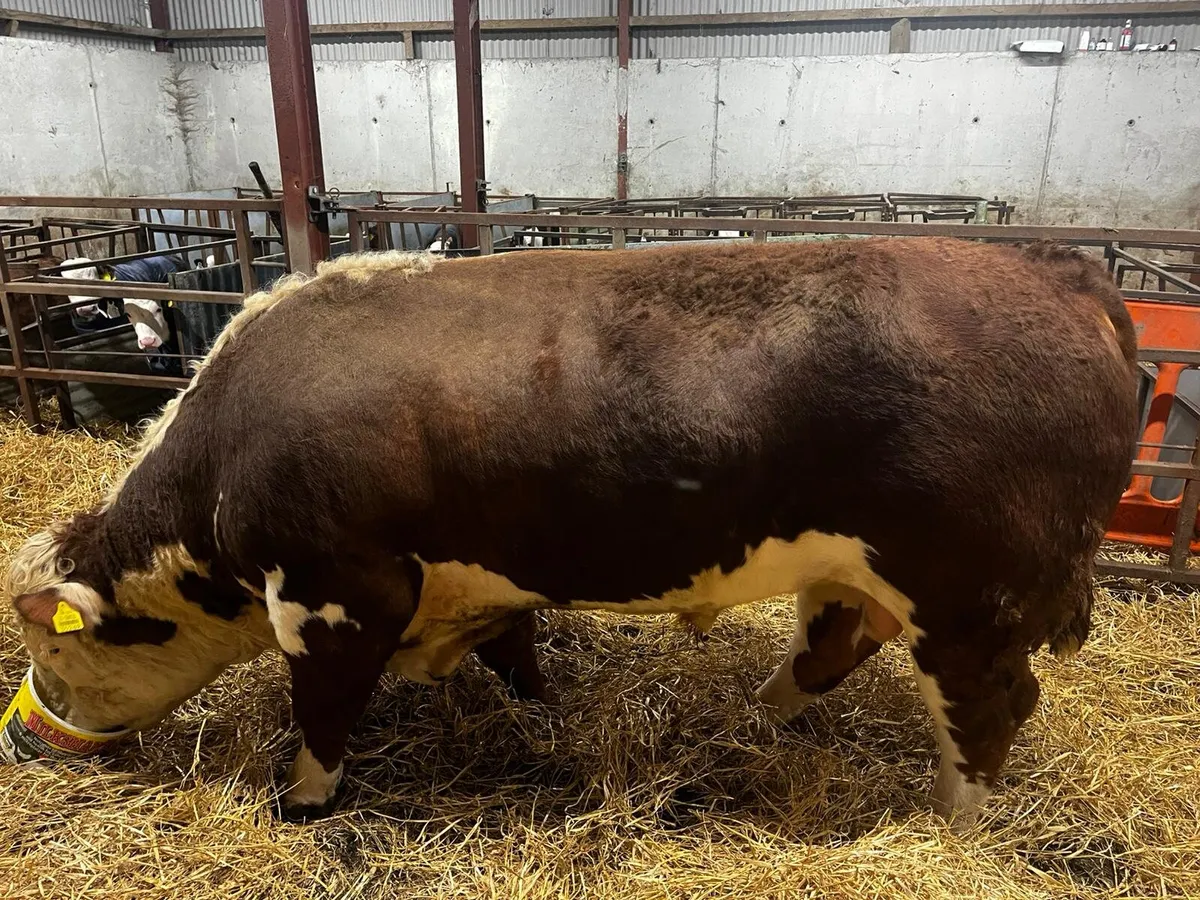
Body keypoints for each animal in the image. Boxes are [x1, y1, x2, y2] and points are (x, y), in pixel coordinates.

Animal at [4, 238, 1138, 828]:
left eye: (53, 652)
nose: (29, 735)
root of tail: (1060, 273)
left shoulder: (340, 593)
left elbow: (322, 715)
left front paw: (304, 799)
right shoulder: (476, 583)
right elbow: (516, 655)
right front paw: (538, 706)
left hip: (972, 597)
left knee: (990, 706)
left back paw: (956, 820)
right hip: (863, 574)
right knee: (831, 646)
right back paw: (756, 718)